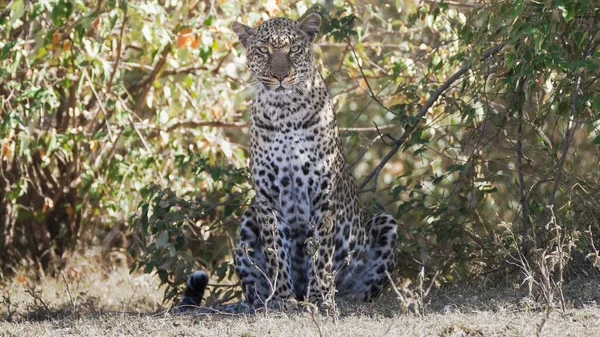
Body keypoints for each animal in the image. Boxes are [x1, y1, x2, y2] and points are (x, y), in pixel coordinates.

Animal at [179, 12, 398, 312]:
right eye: (263, 51)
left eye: (293, 49)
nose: (280, 76)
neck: (285, 113)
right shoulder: (268, 197)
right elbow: (275, 251)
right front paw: (283, 299)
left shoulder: (322, 196)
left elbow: (321, 253)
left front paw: (320, 299)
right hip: (248, 222)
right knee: (254, 292)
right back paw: (267, 302)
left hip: (386, 223)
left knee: (364, 286)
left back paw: (343, 298)